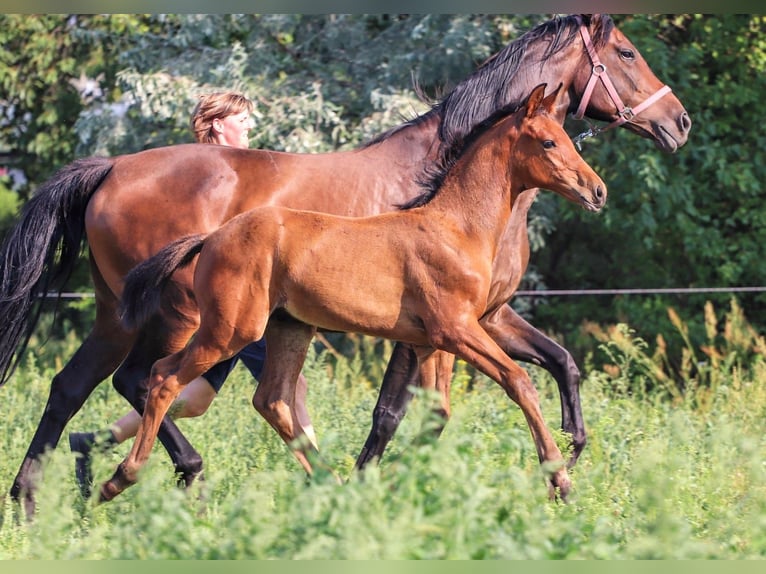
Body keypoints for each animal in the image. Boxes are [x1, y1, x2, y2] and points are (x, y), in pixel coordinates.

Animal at [100, 84, 608, 504]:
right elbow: (519, 383)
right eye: (549, 142)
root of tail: (213, 237)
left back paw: (333, 485)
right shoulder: (458, 330)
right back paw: (118, 480)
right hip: (229, 330)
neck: (456, 227)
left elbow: (436, 412)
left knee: (272, 399)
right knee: (163, 377)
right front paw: (560, 482)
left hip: (290, 328)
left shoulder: (435, 343)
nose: (598, 191)